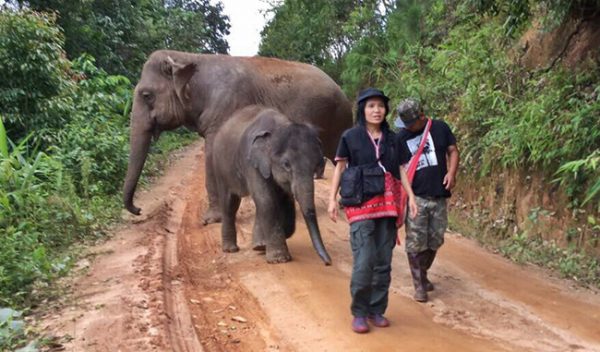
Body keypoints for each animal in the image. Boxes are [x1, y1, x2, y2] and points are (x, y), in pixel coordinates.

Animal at [123, 49, 354, 223]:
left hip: (338, 117)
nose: (139, 210)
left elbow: (211, 157)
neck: (188, 56)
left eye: (146, 95)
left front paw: (211, 220)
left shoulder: (226, 108)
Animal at [212, 104, 332, 264]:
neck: (279, 127)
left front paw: (263, 245)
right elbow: (266, 200)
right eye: (286, 164)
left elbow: (285, 200)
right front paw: (279, 259)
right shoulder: (251, 163)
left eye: (316, 166)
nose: (328, 262)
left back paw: (258, 244)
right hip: (220, 166)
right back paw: (231, 249)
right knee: (230, 204)